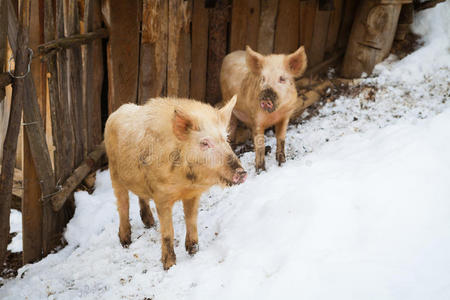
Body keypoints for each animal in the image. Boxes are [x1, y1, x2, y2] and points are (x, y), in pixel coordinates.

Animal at [104, 96, 248, 270]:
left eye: (226, 139)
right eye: (204, 143)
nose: (242, 172)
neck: (185, 182)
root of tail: (117, 112)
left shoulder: (193, 194)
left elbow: (191, 220)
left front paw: (193, 251)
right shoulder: (162, 196)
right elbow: (168, 232)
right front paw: (169, 266)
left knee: (141, 196)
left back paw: (150, 224)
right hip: (114, 173)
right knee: (122, 205)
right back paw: (126, 242)